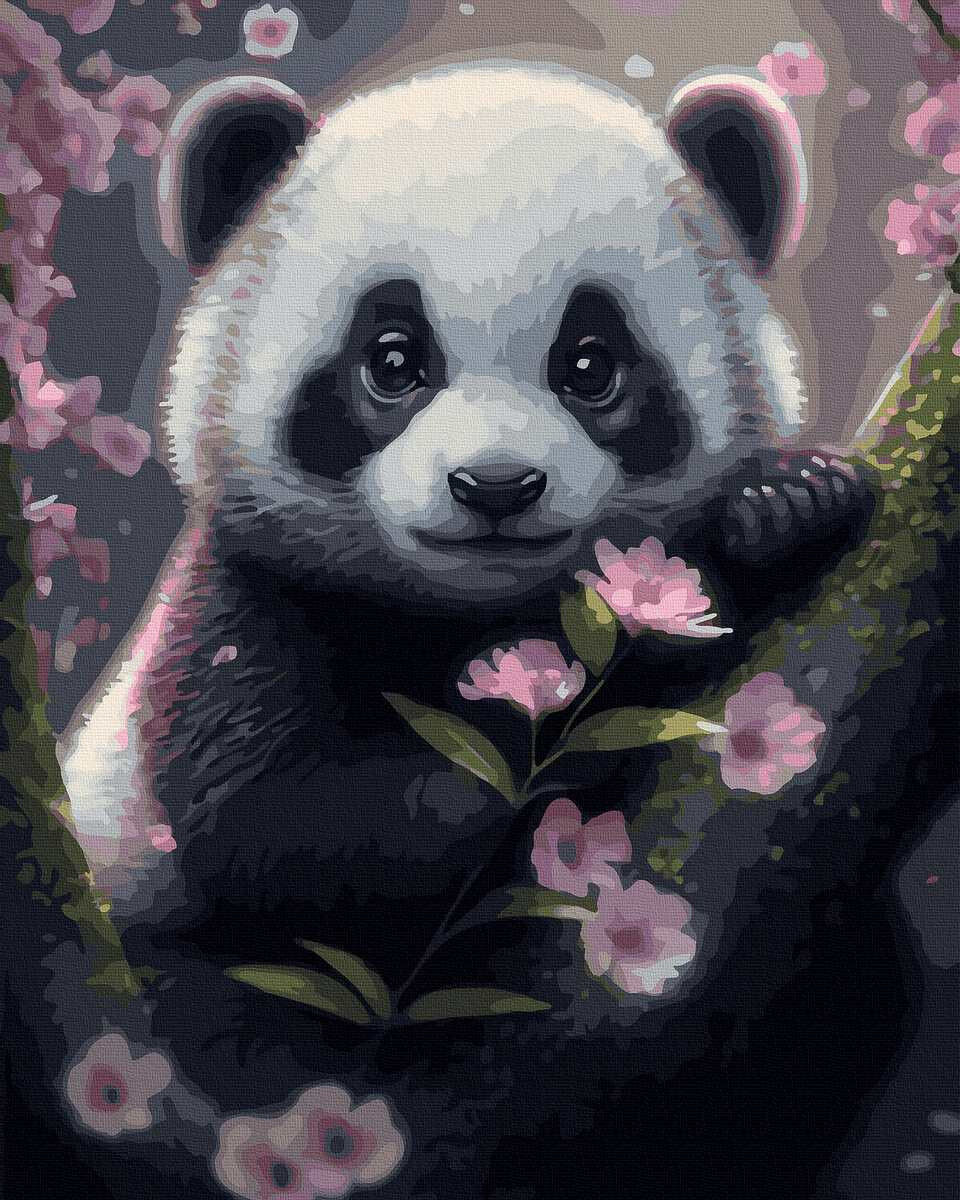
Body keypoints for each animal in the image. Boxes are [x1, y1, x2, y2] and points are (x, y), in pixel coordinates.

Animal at [43, 62, 884, 1200]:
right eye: (393, 360)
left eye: (591, 364)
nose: (496, 486)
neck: (477, 613)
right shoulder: (239, 612)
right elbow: (287, 820)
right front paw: (599, 689)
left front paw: (786, 506)